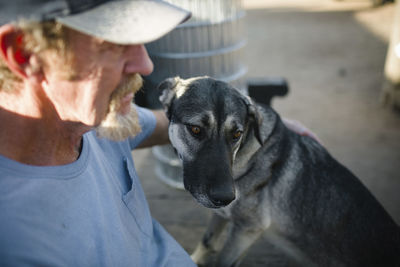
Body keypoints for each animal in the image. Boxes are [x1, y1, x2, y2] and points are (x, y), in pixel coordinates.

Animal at [158, 76, 398, 266]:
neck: (245, 154)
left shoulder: (247, 229)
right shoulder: (223, 215)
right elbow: (207, 242)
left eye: (236, 134)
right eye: (195, 129)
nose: (225, 197)